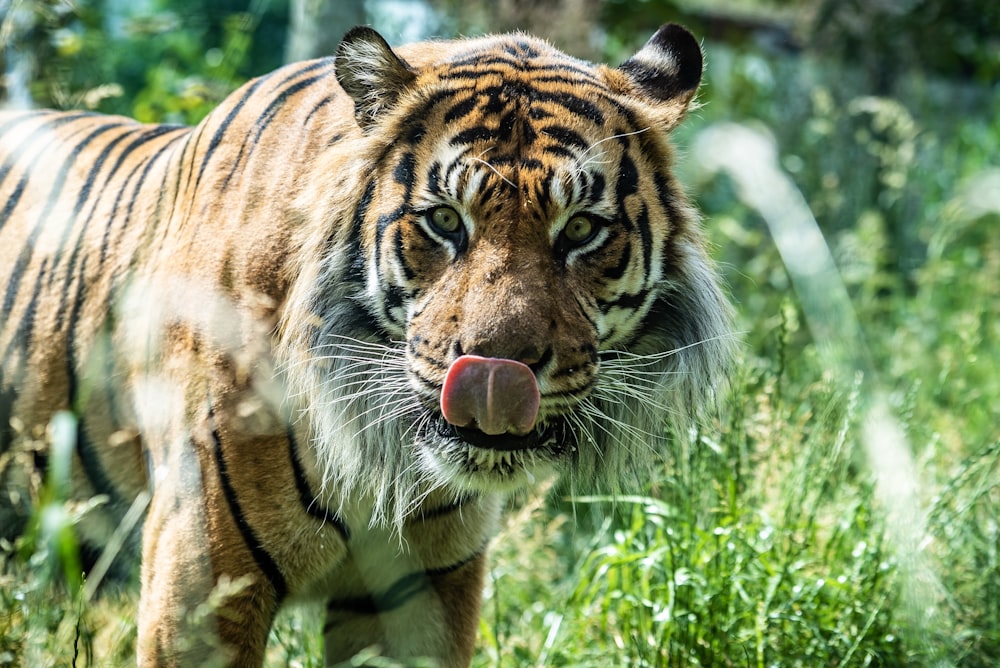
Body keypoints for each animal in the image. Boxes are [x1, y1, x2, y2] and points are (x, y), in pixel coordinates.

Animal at [0, 23, 736, 668]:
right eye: (444, 221)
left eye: (581, 229)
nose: (499, 372)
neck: (382, 458)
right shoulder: (201, 581)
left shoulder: (423, 594)